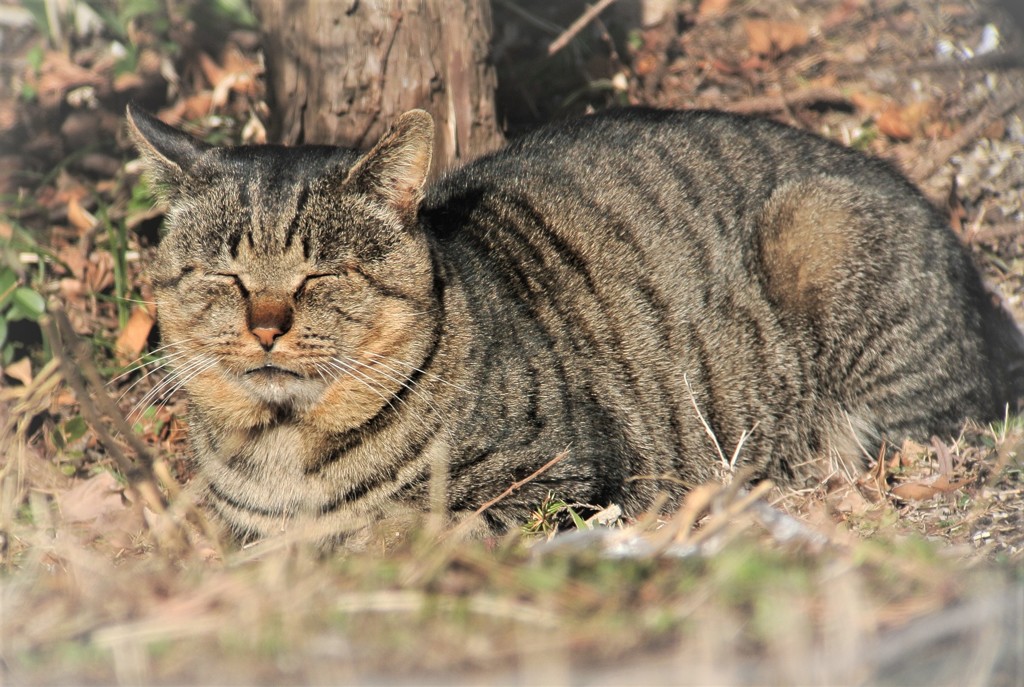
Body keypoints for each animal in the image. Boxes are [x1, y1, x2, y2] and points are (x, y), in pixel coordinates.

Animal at [123, 103, 1019, 544]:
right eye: (225, 276)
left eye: (321, 276)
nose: (267, 327)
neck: (283, 450)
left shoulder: (556, 478)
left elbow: (413, 532)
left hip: (822, 232)